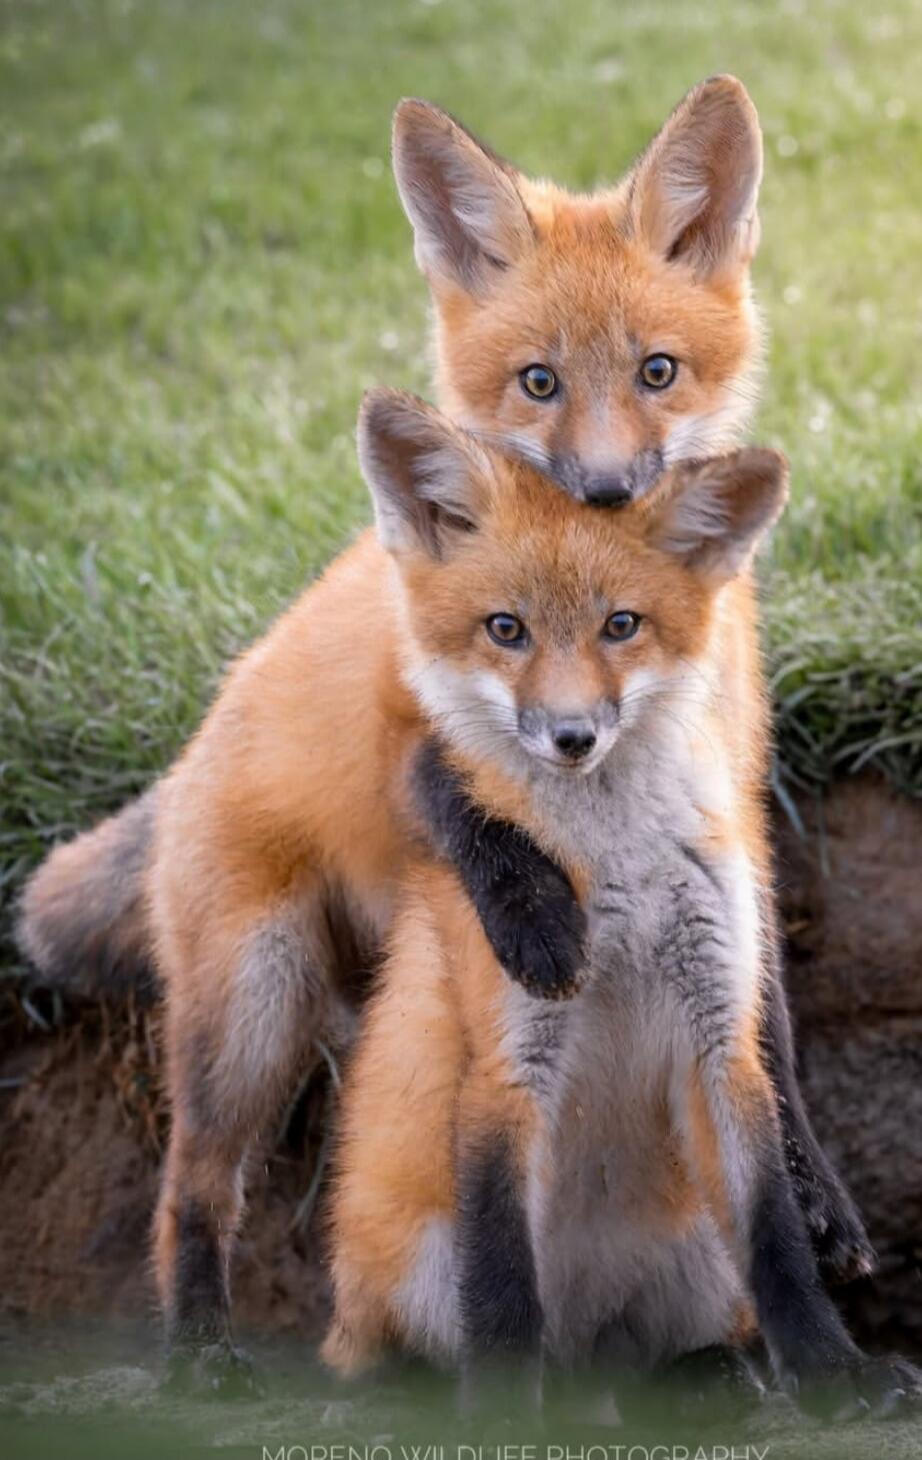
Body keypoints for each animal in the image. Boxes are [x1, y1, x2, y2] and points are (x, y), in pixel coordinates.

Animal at [15, 78, 870, 1373]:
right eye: (537, 381)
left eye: (657, 370)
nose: (606, 492)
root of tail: (197, 733)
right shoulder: (421, 719)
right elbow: (461, 804)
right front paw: (536, 923)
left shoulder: (730, 780)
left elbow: (761, 1014)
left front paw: (814, 1205)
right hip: (252, 1008)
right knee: (194, 1184)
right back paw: (204, 1347)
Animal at [322, 390, 921, 1417]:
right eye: (506, 630)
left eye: (621, 626)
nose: (572, 736)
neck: (623, 877)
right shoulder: (509, 1067)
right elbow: (503, 1286)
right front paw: (502, 1422)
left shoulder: (721, 1035)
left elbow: (780, 1245)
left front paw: (832, 1372)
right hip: (415, 1268)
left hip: (690, 1256)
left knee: (645, 1352)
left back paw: (706, 1376)